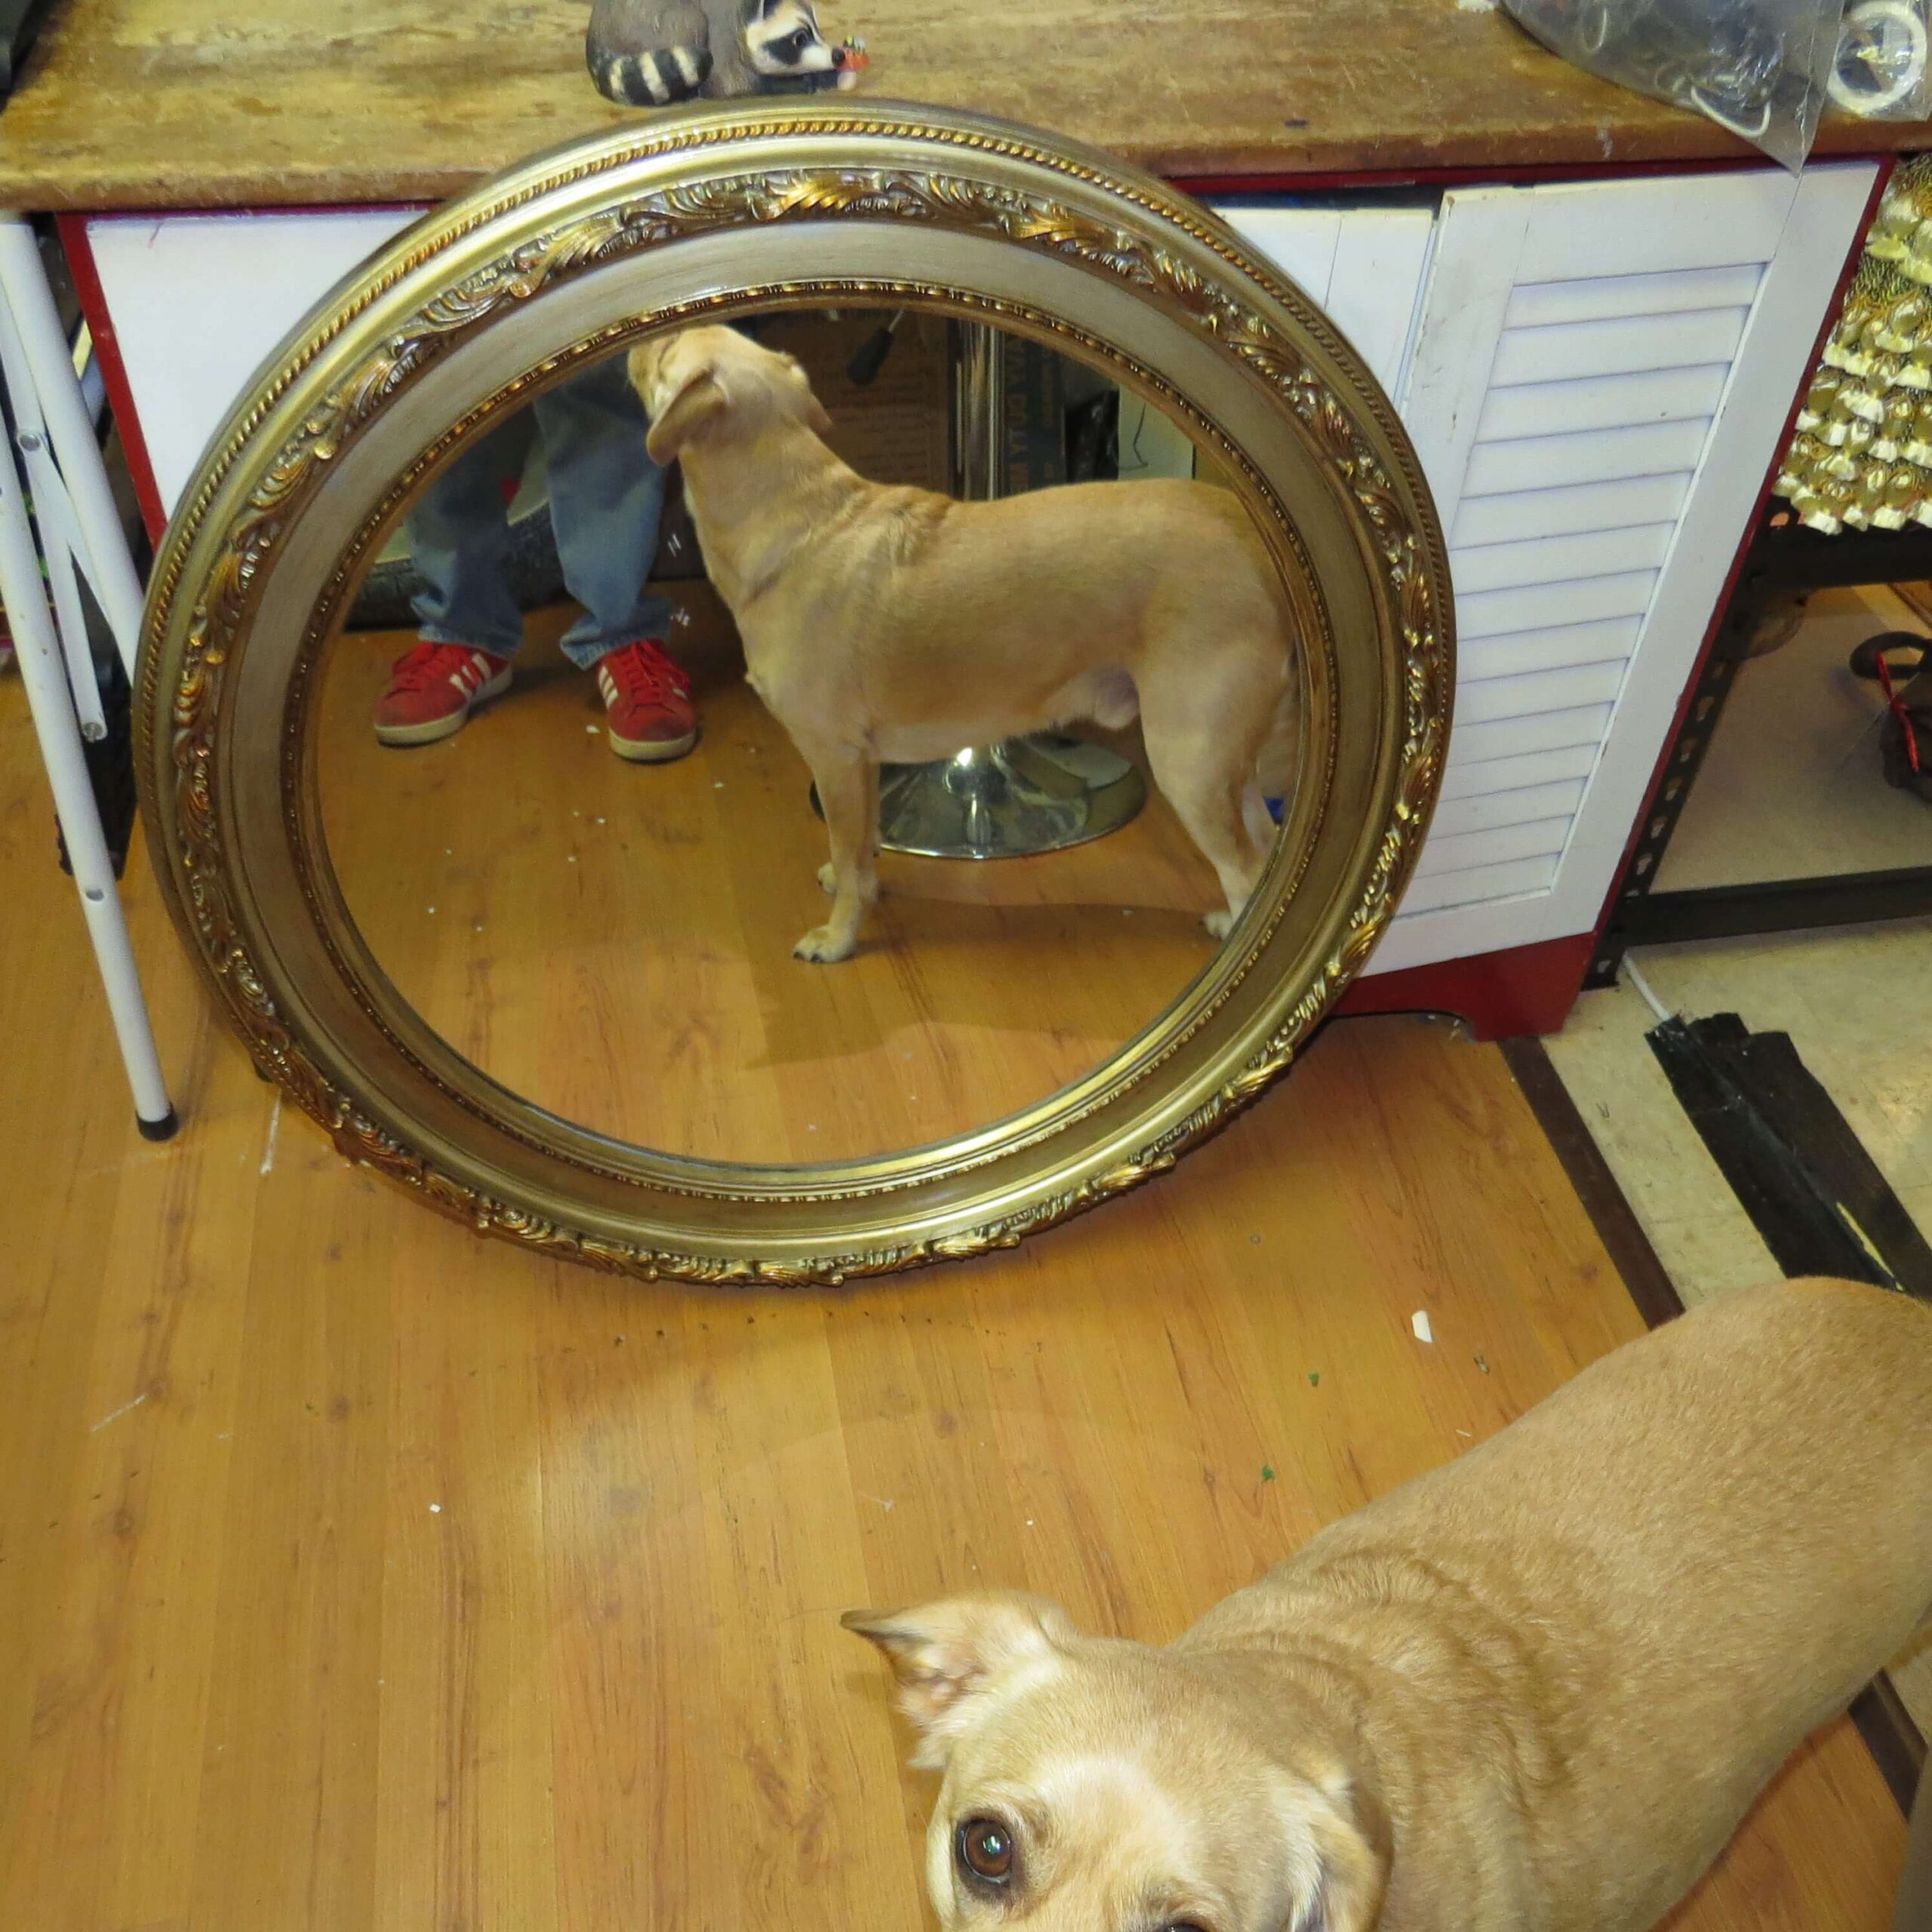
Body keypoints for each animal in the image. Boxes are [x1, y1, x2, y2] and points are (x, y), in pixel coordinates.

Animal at [627, 326, 1298, 963]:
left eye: (666, 350)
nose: (639, 339)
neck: (799, 520)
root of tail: (1251, 537)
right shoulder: (863, 762)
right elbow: (860, 850)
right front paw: (857, 884)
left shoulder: (835, 755)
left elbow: (848, 853)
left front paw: (839, 937)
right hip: (1225, 763)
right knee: (1264, 849)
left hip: (1188, 757)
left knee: (1244, 870)